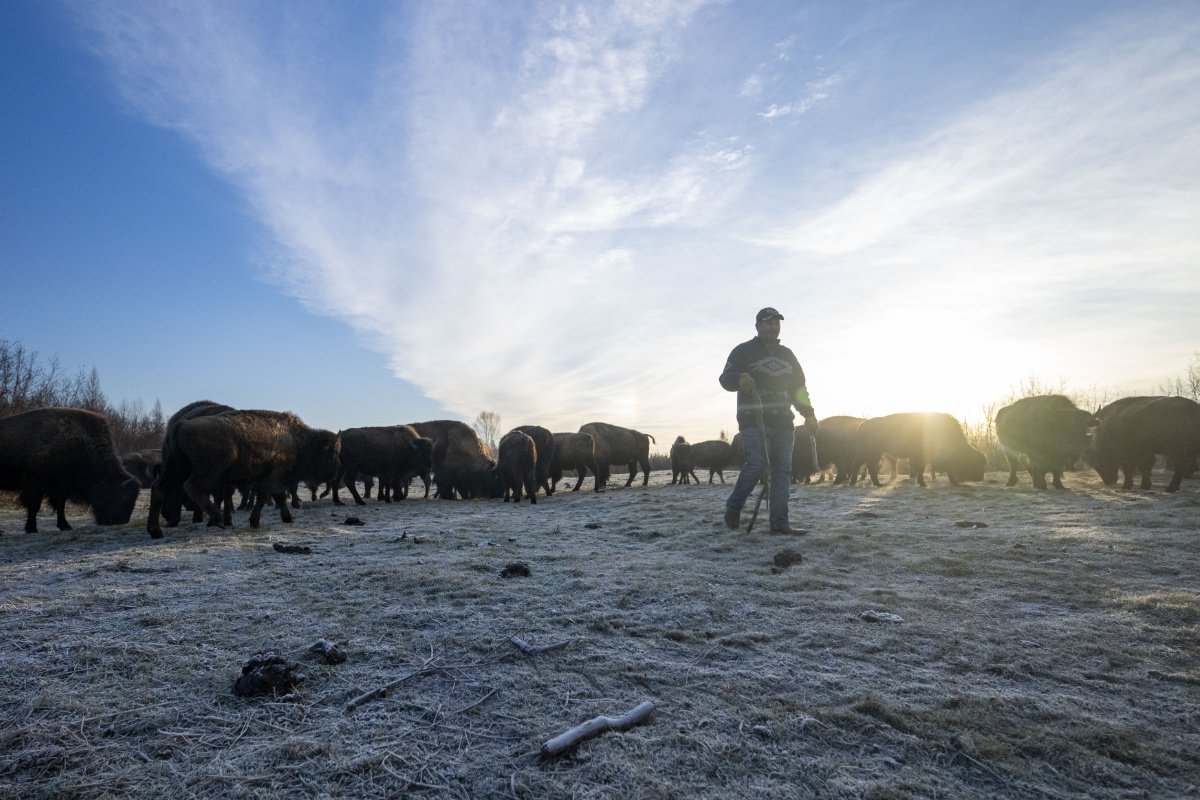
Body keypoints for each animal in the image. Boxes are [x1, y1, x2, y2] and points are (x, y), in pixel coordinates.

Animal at [0, 408, 140, 533]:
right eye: (122, 497)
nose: (121, 520)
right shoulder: (35, 485)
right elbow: (34, 507)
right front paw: (31, 529)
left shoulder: (60, 489)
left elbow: (60, 507)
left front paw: (65, 526)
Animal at [853, 412, 987, 487]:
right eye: (974, 463)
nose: (980, 477)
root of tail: (862, 426)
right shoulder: (920, 457)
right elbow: (921, 469)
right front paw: (922, 483)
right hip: (872, 453)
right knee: (867, 466)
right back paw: (876, 484)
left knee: (863, 466)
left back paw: (859, 483)